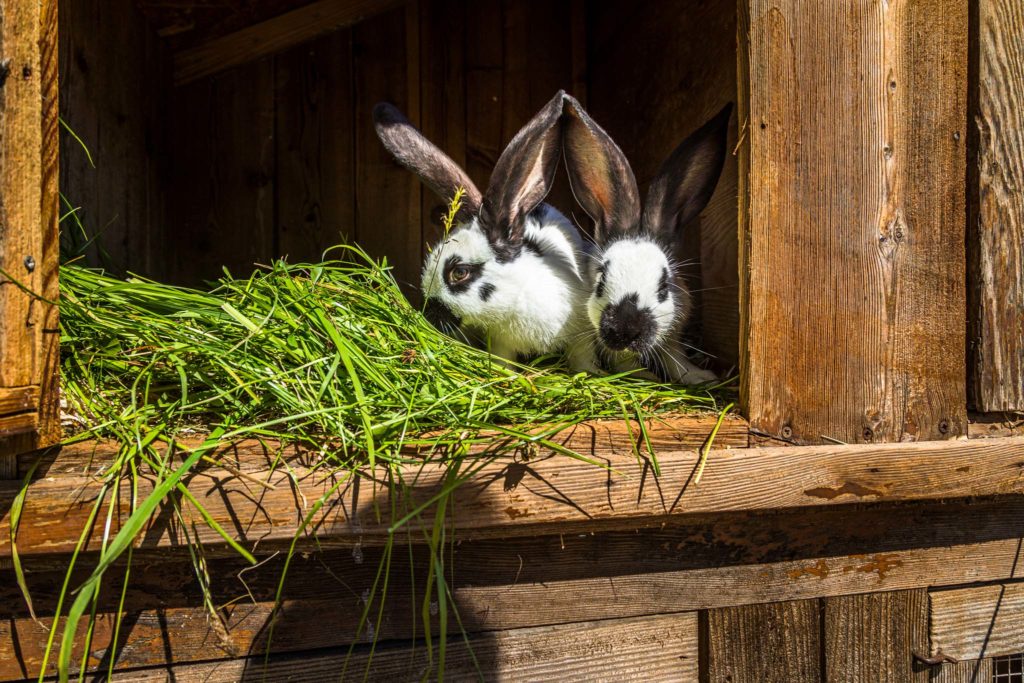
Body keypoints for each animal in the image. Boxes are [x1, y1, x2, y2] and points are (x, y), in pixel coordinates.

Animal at [374, 90, 598, 374]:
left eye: (459, 272)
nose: (430, 314)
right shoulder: (502, 343)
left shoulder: (582, 336)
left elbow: (582, 360)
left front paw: (588, 375)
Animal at [561, 94, 729, 385]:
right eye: (601, 280)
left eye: (664, 286)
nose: (625, 330)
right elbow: (600, 357)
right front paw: (633, 375)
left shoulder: (673, 333)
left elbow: (675, 360)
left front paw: (700, 377)